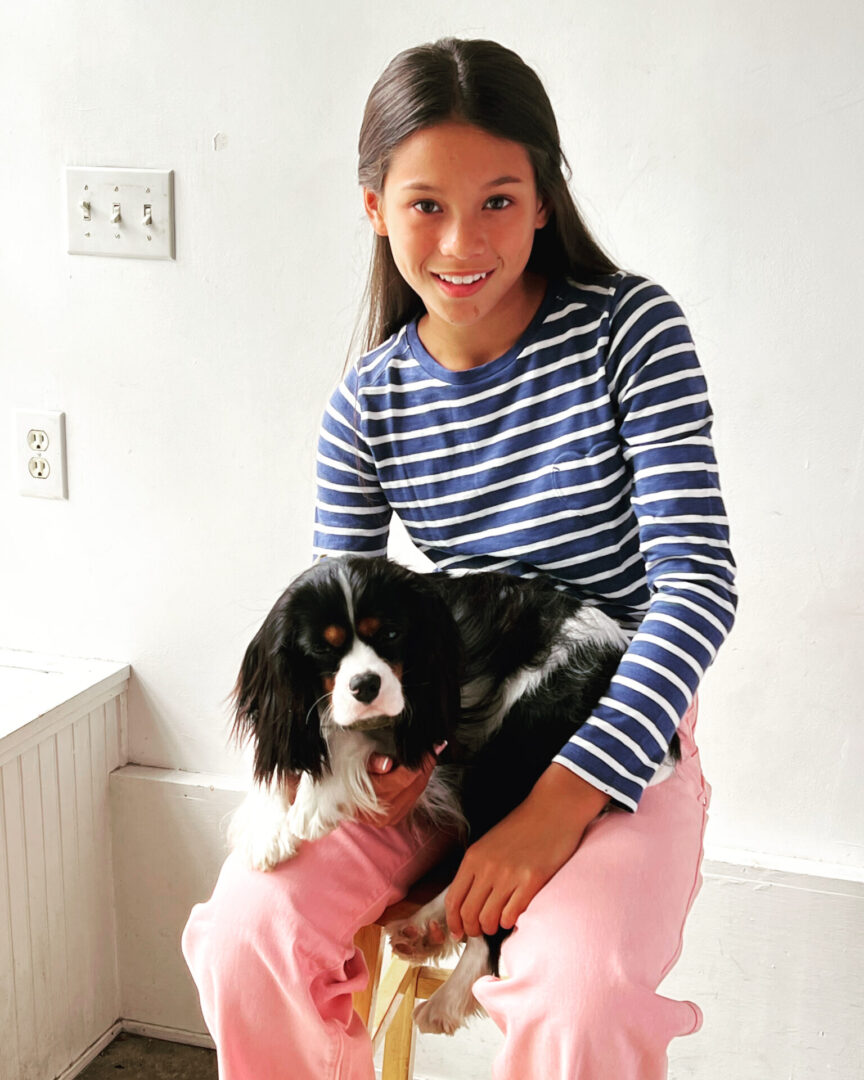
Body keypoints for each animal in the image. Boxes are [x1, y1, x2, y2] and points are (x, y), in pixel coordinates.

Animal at [231, 552, 682, 1032]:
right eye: (322, 649)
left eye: (390, 635)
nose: (366, 685)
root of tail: (617, 650)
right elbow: (285, 752)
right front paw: (264, 829)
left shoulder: (426, 714)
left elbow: (350, 735)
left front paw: (316, 801)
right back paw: (427, 926)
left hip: (509, 753)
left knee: (497, 893)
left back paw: (449, 997)